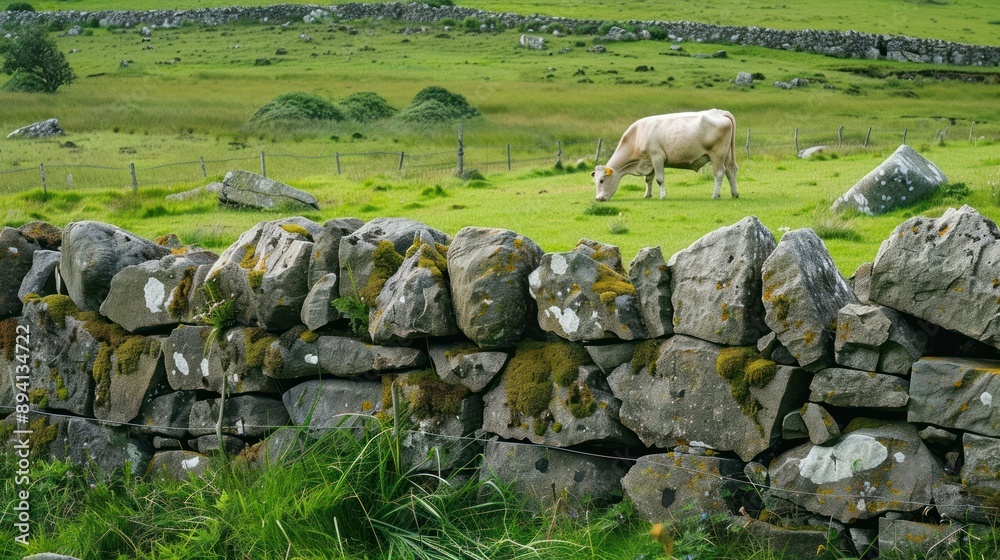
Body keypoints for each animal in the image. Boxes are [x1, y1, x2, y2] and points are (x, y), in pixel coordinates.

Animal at [593, 109, 739, 201]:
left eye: (602, 181)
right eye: (595, 181)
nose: (598, 199)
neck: (639, 134)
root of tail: (720, 112)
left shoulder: (657, 157)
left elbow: (659, 179)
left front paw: (662, 196)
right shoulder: (649, 161)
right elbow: (648, 179)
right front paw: (647, 195)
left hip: (717, 155)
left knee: (719, 173)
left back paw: (715, 195)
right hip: (727, 155)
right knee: (730, 171)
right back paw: (735, 193)